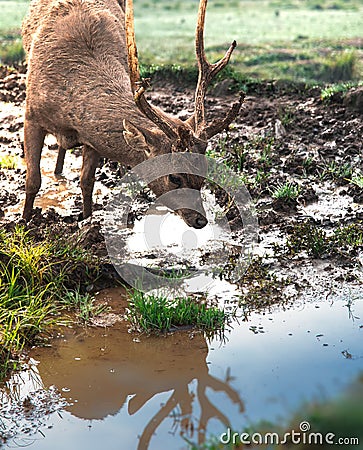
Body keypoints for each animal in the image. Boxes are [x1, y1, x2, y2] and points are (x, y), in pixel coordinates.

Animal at [22, 0, 245, 229]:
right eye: (174, 177)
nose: (200, 220)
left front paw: (87, 219)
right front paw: (25, 221)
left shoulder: (91, 140)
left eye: (204, 171)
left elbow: (86, 182)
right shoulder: (31, 116)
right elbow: (33, 180)